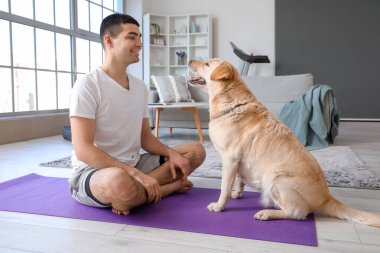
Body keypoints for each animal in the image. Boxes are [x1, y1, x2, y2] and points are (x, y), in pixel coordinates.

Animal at [189, 58, 380, 227]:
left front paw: (219, 206)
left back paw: (267, 213)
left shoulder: (230, 159)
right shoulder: (236, 162)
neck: (232, 105)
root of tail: (326, 197)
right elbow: (238, 180)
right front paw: (238, 193)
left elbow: (224, 187)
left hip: (275, 179)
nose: (189, 60)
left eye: (207, 63)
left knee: (298, 212)